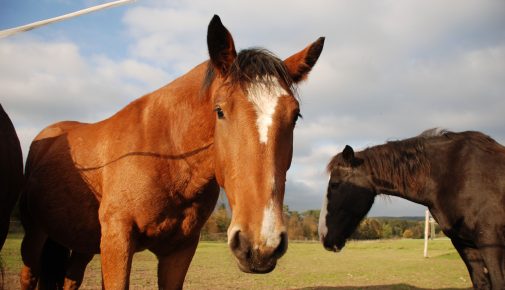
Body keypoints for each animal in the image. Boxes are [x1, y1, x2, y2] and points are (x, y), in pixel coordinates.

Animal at [19, 15, 322, 290]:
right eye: (220, 111)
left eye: (295, 116)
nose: (260, 244)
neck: (167, 157)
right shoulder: (117, 240)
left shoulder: (180, 251)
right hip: (36, 233)